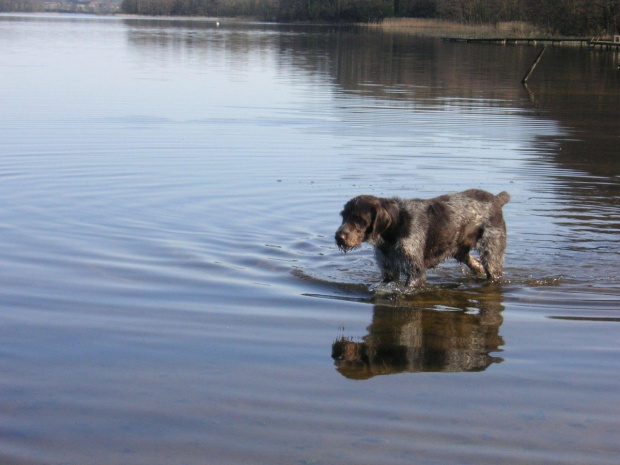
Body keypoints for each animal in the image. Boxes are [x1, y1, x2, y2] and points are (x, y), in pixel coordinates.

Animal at [336, 188, 512, 286]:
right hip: (460, 251)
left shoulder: (416, 272)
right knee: (476, 264)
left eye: (360, 219)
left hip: (492, 253)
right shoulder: (389, 271)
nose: (339, 237)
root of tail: (496, 200)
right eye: (344, 216)